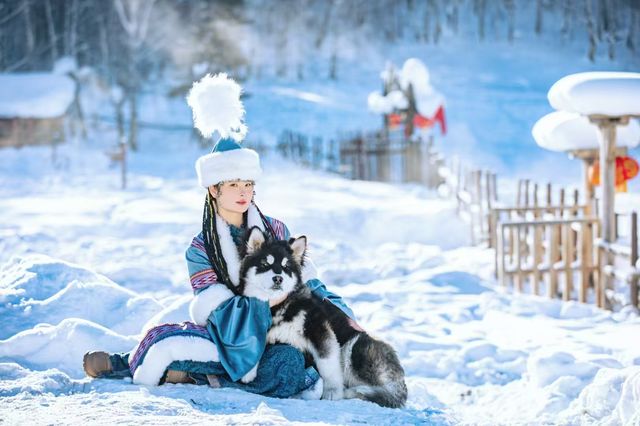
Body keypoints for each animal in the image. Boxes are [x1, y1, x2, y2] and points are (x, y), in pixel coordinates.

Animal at [236, 226, 410, 410]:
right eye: (265, 264)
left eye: (286, 267)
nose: (278, 278)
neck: (279, 306)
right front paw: (248, 370)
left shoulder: (319, 329)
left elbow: (328, 365)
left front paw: (333, 392)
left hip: (355, 346)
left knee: (386, 393)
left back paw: (356, 393)